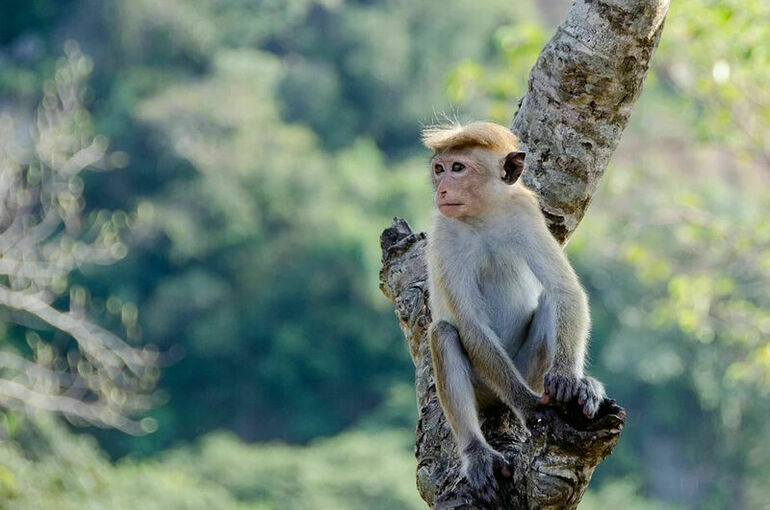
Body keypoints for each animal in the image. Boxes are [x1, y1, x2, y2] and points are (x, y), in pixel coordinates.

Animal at [420, 121, 608, 500]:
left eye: (457, 168)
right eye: (439, 168)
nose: (443, 189)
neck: (482, 218)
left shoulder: (525, 213)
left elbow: (564, 290)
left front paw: (569, 379)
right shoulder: (445, 235)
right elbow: (471, 325)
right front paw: (528, 406)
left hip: (528, 368)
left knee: (550, 300)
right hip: (485, 384)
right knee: (444, 333)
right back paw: (477, 452)